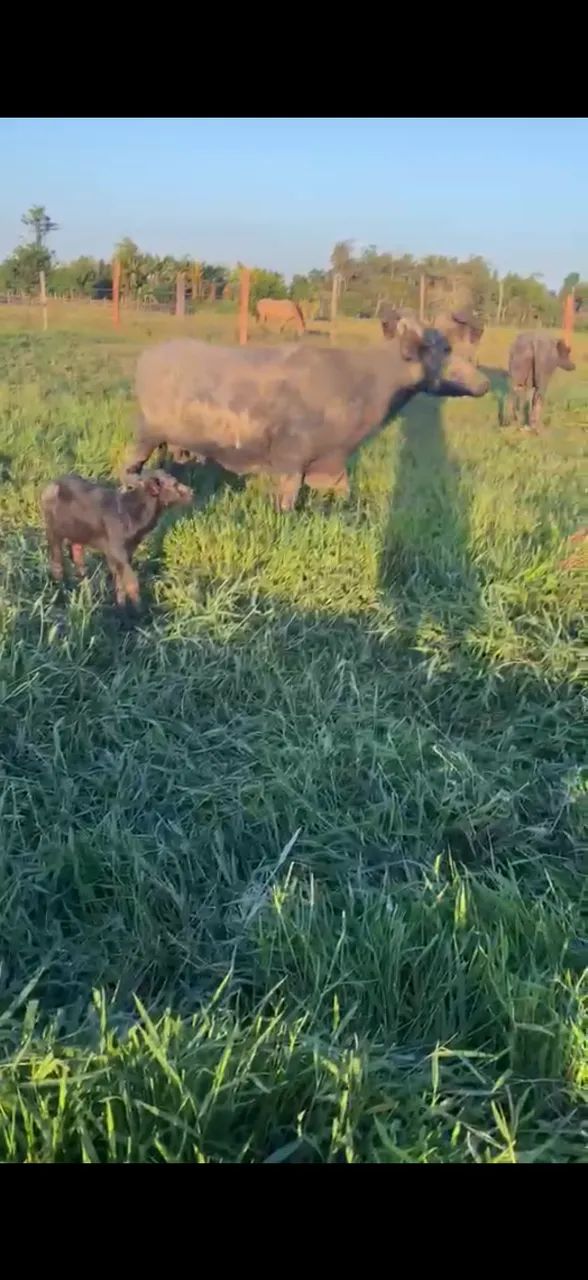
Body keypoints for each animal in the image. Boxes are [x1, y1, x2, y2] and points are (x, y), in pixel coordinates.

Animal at [124, 319, 489, 511]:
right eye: (445, 350)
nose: (485, 383)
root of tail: (147, 357)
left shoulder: (333, 462)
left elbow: (343, 492)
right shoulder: (290, 455)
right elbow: (287, 496)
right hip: (146, 432)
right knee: (128, 463)